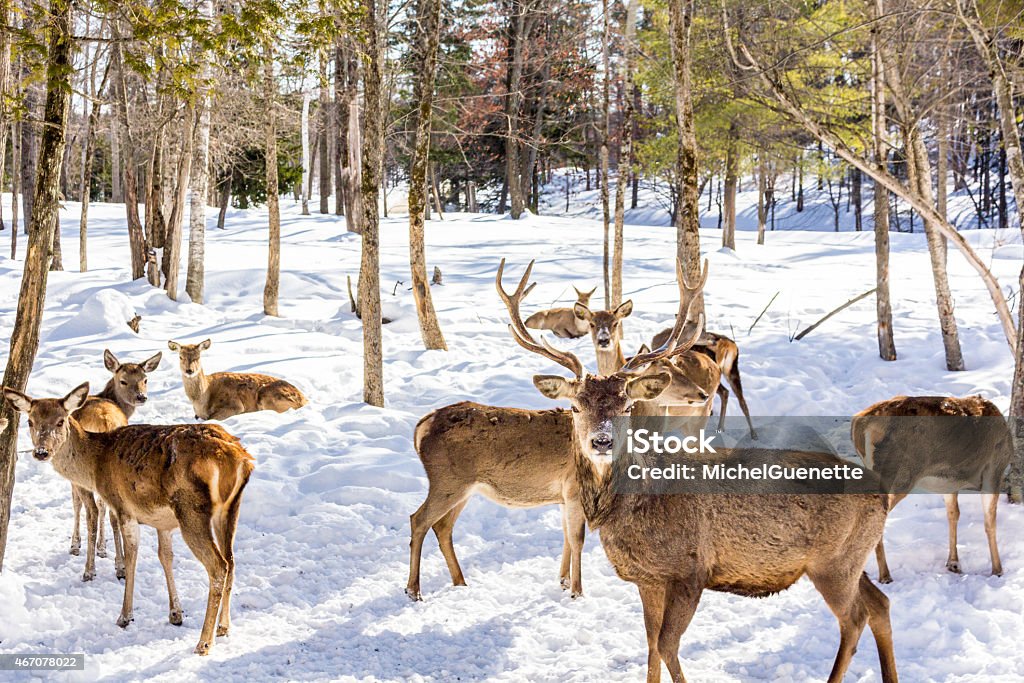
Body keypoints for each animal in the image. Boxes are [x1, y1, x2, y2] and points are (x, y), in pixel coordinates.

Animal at [4, 382, 256, 655]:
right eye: (30, 421)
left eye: (61, 421)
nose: (41, 452)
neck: (96, 464)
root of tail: (239, 457)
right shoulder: (162, 521)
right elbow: (165, 557)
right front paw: (175, 613)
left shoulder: (123, 506)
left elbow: (131, 557)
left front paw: (125, 615)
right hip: (230, 508)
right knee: (231, 561)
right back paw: (224, 627)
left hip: (191, 510)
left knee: (218, 566)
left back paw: (204, 642)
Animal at [164, 339, 303, 421]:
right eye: (180, 357)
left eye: (198, 357)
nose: (189, 370)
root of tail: (304, 400)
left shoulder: (234, 405)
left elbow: (212, 418)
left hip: (268, 397)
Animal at [405, 264, 712, 602]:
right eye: (575, 406)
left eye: (627, 406)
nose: (602, 441)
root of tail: (421, 427)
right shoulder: (573, 491)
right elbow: (577, 539)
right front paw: (577, 591)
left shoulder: (564, 498)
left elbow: (566, 537)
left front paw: (563, 580)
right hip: (447, 480)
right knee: (418, 519)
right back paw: (413, 589)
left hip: (464, 487)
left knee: (443, 526)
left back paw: (460, 582)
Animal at [501, 260, 897, 683]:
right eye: (575, 406)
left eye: (627, 405)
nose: (602, 441)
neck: (629, 510)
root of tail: (883, 493)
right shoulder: (648, 578)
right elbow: (650, 647)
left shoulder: (689, 572)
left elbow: (666, 646)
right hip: (853, 558)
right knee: (880, 604)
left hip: (834, 561)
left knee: (854, 618)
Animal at [847, 397, 1007, 585]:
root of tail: (859, 423)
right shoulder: (994, 469)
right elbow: (990, 522)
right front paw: (998, 570)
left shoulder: (950, 482)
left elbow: (953, 513)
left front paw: (953, 563)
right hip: (898, 473)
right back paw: (884, 576)